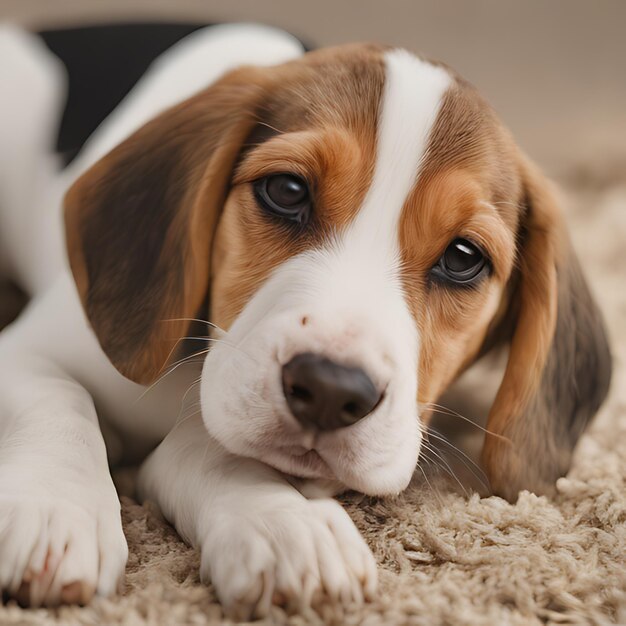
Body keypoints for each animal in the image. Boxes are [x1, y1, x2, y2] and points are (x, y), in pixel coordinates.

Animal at [0, 23, 608, 616]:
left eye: (463, 258)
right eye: (287, 190)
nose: (330, 390)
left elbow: (209, 445)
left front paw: (278, 522)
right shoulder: (26, 350)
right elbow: (60, 402)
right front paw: (55, 512)